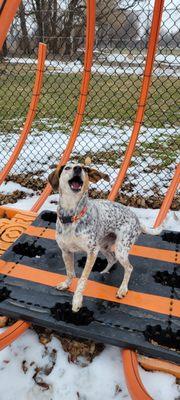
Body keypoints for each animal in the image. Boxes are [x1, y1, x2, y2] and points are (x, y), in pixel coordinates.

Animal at [48, 162, 163, 312]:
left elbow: (82, 279)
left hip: (120, 249)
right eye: (67, 167)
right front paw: (66, 285)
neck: (71, 216)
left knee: (129, 268)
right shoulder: (66, 251)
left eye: (84, 169)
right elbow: (70, 273)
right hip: (103, 246)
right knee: (112, 258)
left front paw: (77, 301)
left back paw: (122, 289)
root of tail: (137, 220)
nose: (78, 168)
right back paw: (104, 272)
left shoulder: (92, 252)